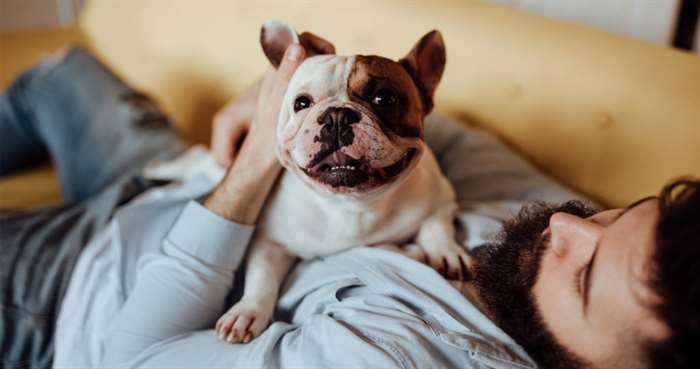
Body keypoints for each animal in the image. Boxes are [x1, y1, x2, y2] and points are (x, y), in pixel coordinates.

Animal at [215, 20, 470, 342]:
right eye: (302, 103)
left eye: (384, 98)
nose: (336, 116)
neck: (352, 204)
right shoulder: (270, 241)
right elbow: (261, 276)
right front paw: (247, 311)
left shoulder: (441, 196)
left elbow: (437, 224)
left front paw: (445, 252)